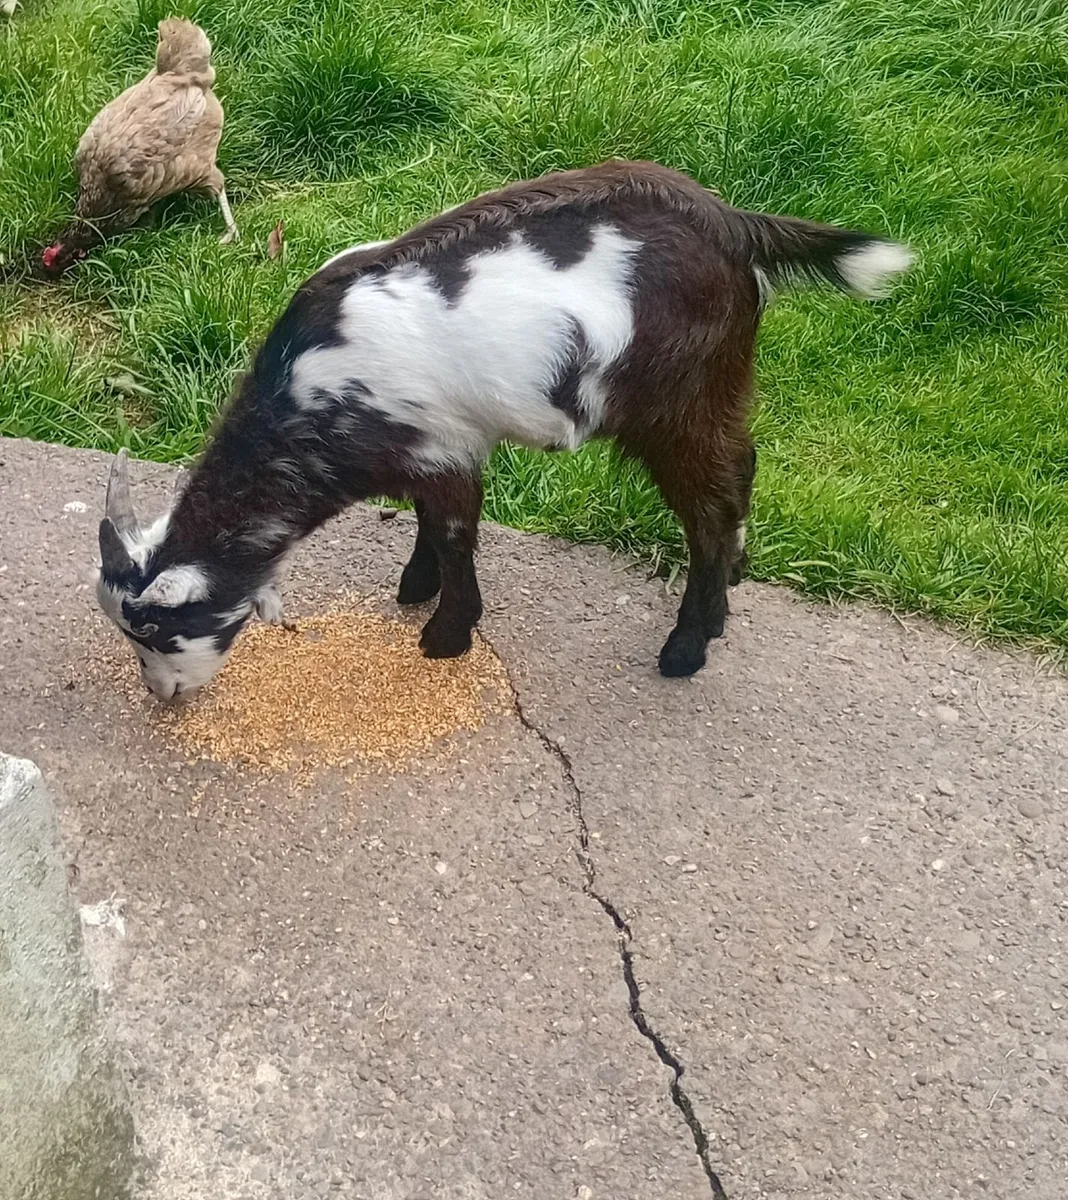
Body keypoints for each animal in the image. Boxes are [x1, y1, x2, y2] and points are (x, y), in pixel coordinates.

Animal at [95, 160, 912, 700]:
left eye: (160, 634)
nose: (164, 696)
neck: (307, 396)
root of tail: (735, 227)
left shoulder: (445, 446)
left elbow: (457, 534)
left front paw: (446, 635)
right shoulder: (437, 446)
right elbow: (428, 521)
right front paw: (415, 587)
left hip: (676, 396)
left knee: (707, 508)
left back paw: (689, 644)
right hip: (718, 386)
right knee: (740, 466)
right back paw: (733, 578)